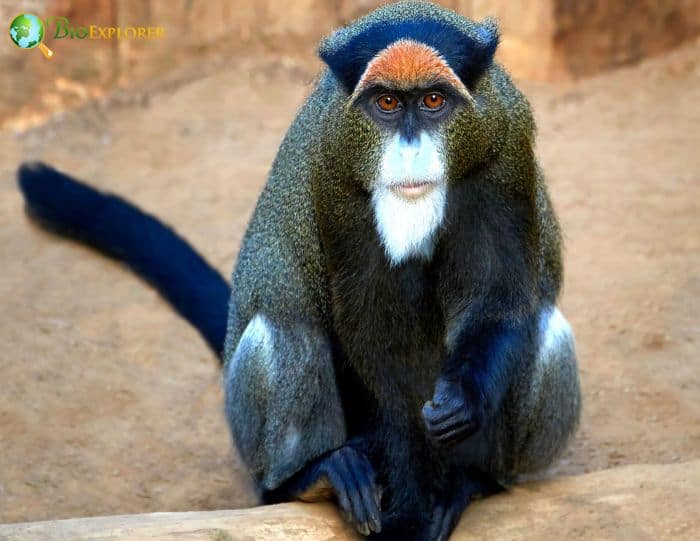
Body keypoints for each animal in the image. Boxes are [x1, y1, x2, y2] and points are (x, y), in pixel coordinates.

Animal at [17, 2, 581, 540]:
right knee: (285, 326)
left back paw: (475, 480)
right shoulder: (332, 171)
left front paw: (461, 407)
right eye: (387, 103)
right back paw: (310, 478)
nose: (410, 149)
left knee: (545, 328)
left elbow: (499, 300)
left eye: (434, 102)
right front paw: (402, 515)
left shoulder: (507, 147)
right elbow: (367, 343)